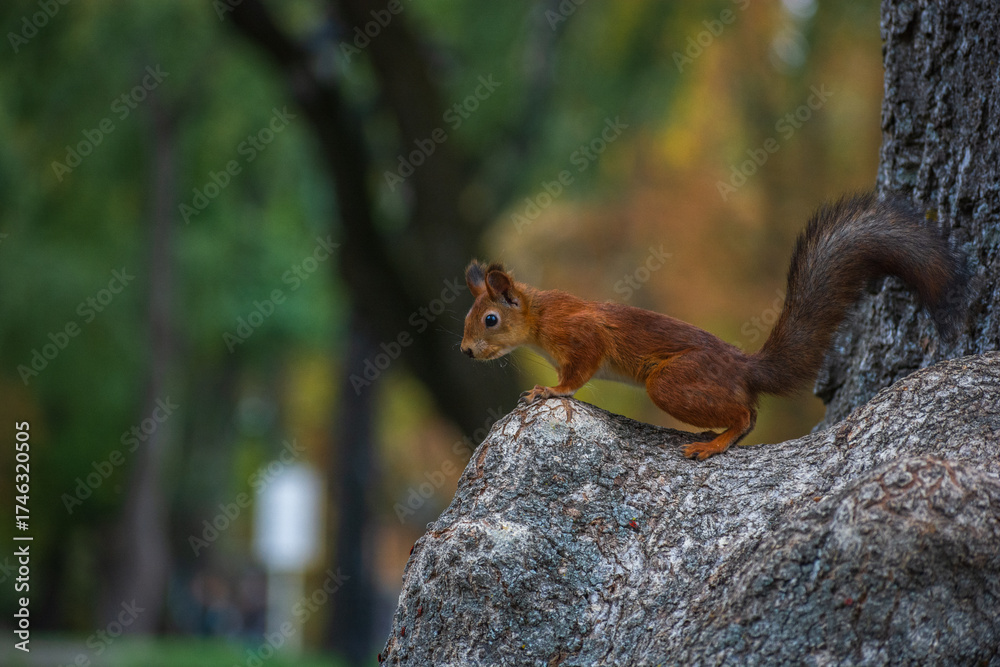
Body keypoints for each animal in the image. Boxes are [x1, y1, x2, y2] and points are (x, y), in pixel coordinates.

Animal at [460, 192, 968, 459]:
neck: (541, 318)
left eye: (490, 320)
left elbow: (577, 374)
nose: (464, 351)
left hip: (673, 382)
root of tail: (743, 368)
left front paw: (550, 390)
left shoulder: (582, 337)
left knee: (746, 415)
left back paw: (713, 444)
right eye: (468, 319)